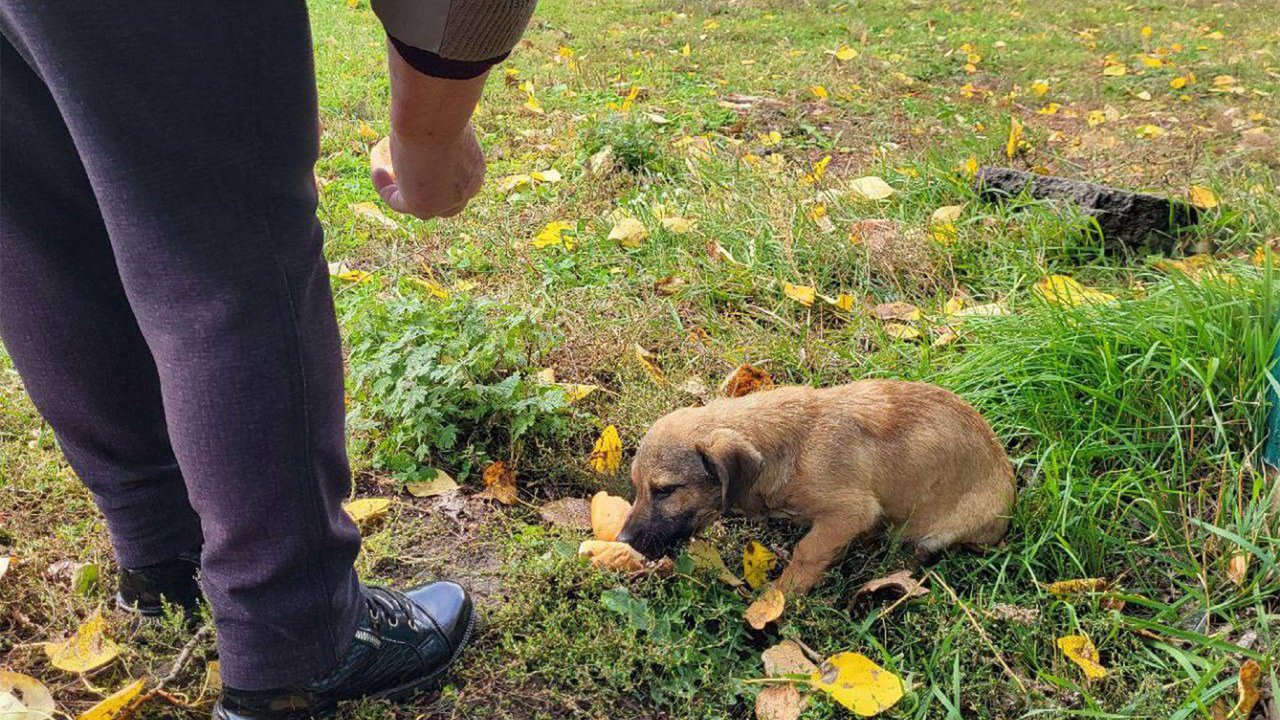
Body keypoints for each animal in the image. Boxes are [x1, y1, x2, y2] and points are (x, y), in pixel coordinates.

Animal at [614, 379, 1013, 591]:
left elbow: (808, 552)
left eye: (666, 490)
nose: (622, 540)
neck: (793, 447)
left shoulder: (849, 512)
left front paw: (776, 601)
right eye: (636, 486)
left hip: (938, 533)